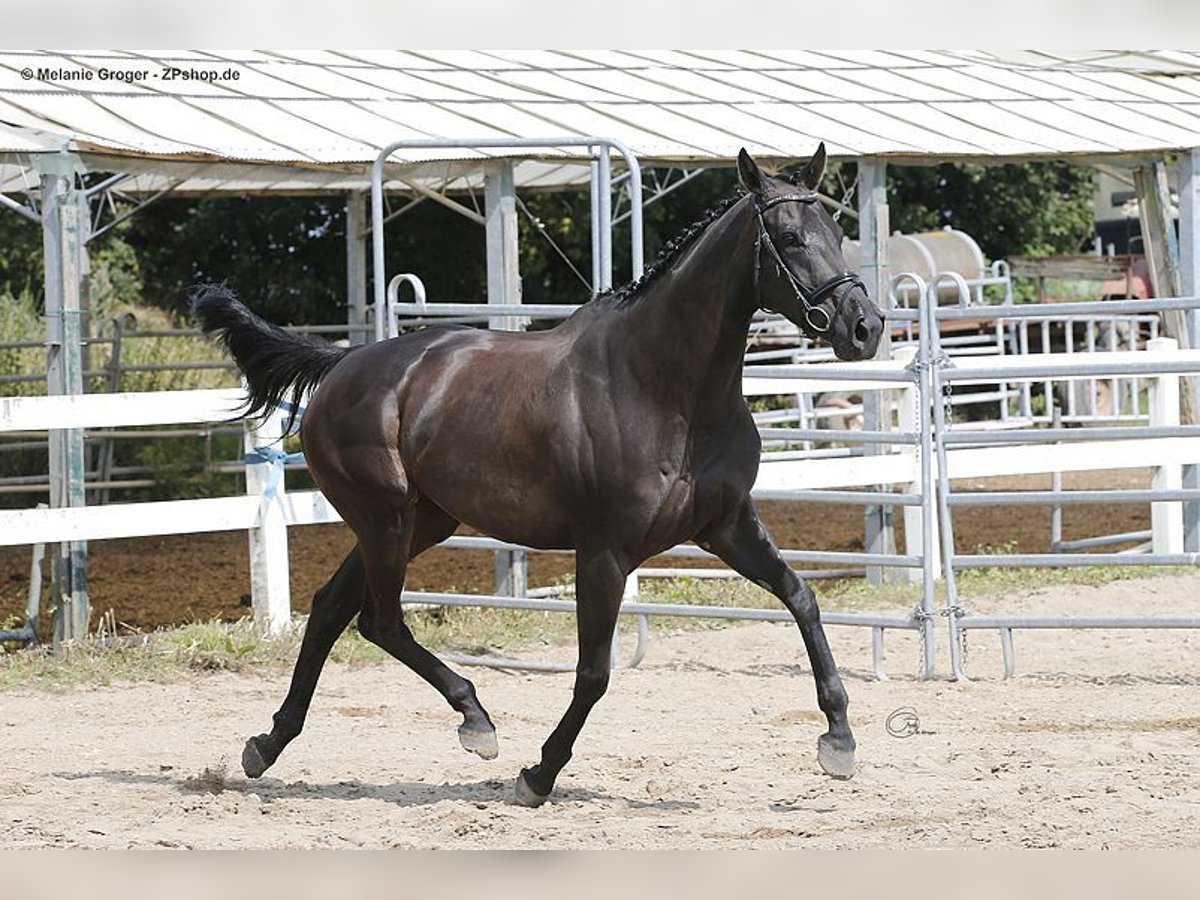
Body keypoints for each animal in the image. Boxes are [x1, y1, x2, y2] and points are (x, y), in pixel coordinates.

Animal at [194, 144, 883, 806]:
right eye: (789, 237)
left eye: (837, 230)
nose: (864, 327)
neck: (665, 389)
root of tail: (342, 364)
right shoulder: (604, 552)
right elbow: (594, 673)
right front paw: (540, 774)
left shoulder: (727, 526)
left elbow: (803, 599)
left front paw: (839, 741)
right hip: (384, 519)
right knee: (377, 619)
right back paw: (475, 721)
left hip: (422, 521)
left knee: (333, 607)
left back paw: (267, 745)